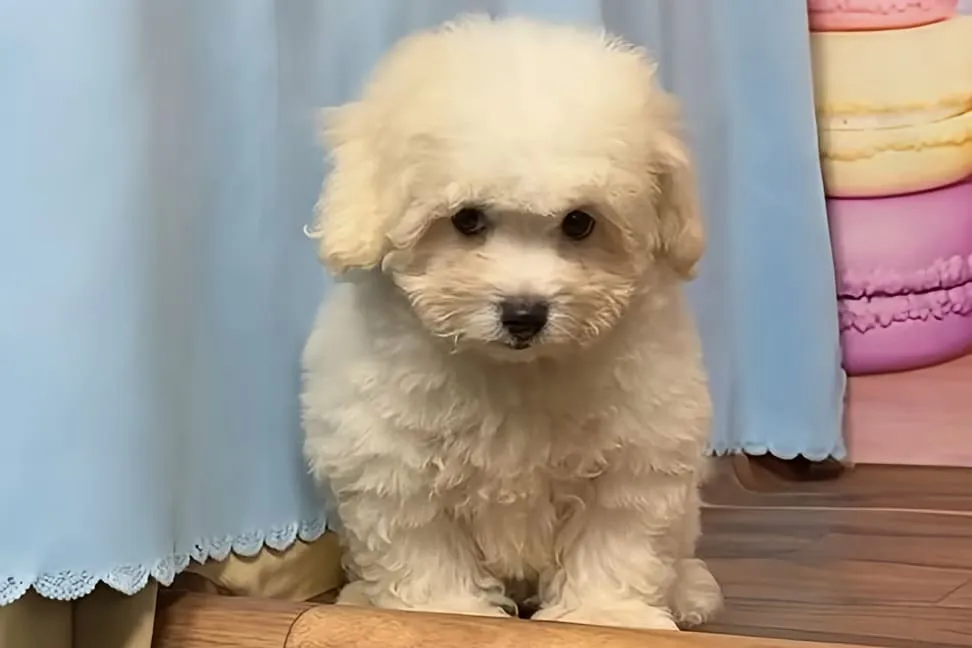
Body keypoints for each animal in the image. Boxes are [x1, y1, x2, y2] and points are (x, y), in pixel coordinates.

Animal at [300, 16, 722, 631]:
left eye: (579, 222)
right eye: (467, 219)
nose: (525, 313)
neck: (516, 372)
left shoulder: (636, 455)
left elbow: (616, 539)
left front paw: (607, 616)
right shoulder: (391, 463)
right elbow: (422, 547)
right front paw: (441, 614)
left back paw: (690, 592)